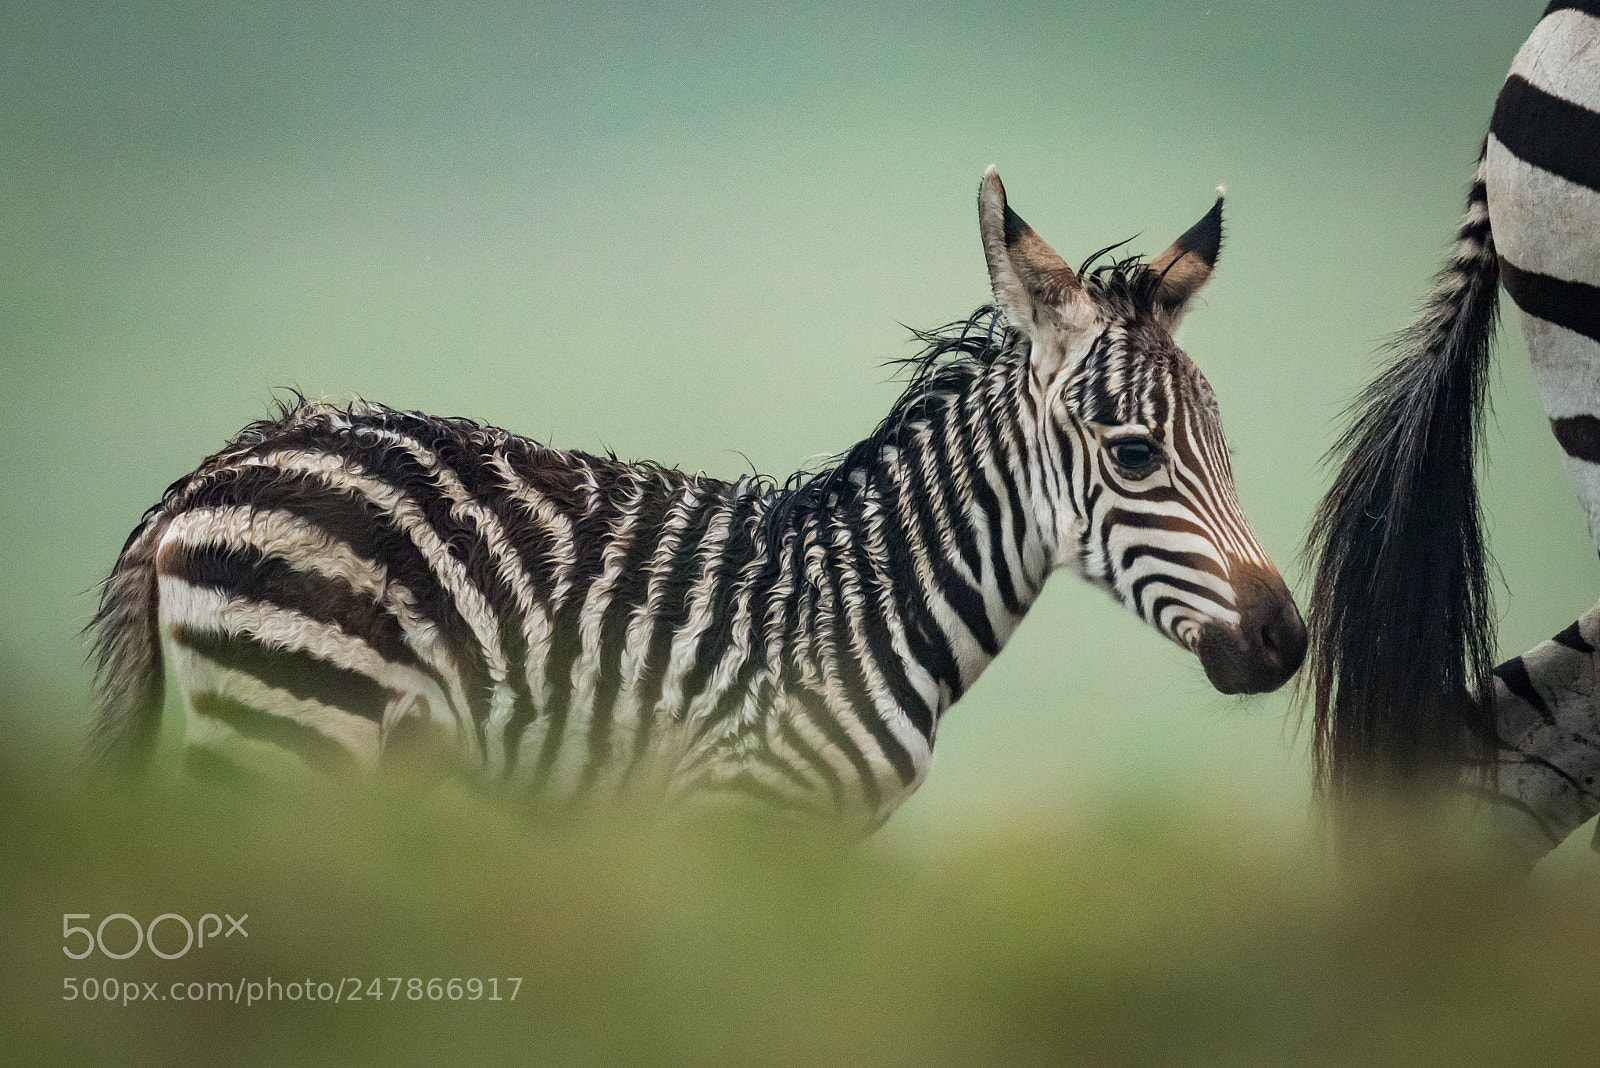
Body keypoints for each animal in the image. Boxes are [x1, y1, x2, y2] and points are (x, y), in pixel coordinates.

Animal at [87, 171, 1305, 831]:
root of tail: (213, 469)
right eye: (1136, 455)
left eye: (1225, 450)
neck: (867, 611)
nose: (1287, 642)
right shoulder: (738, 816)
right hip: (292, 729)